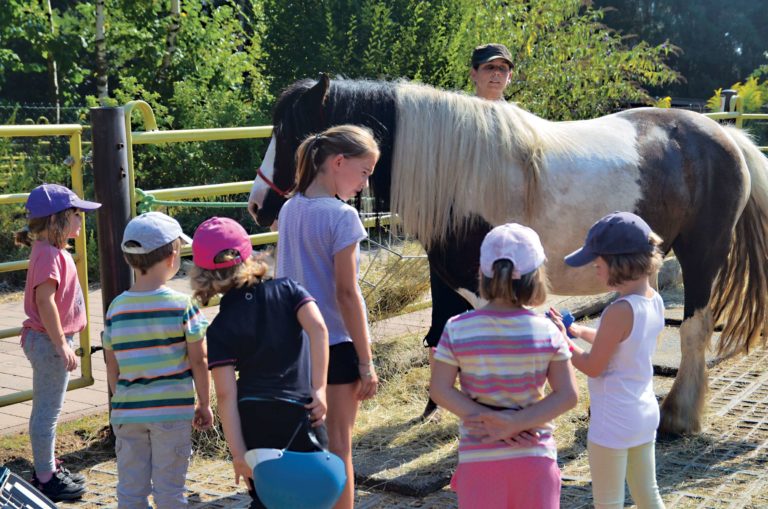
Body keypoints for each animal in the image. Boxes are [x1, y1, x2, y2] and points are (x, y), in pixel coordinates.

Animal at [248, 73, 768, 434]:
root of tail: (728, 139)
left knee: (695, 330)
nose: (257, 205)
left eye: (296, 135)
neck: (463, 171)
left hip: (702, 256)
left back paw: (678, 416)